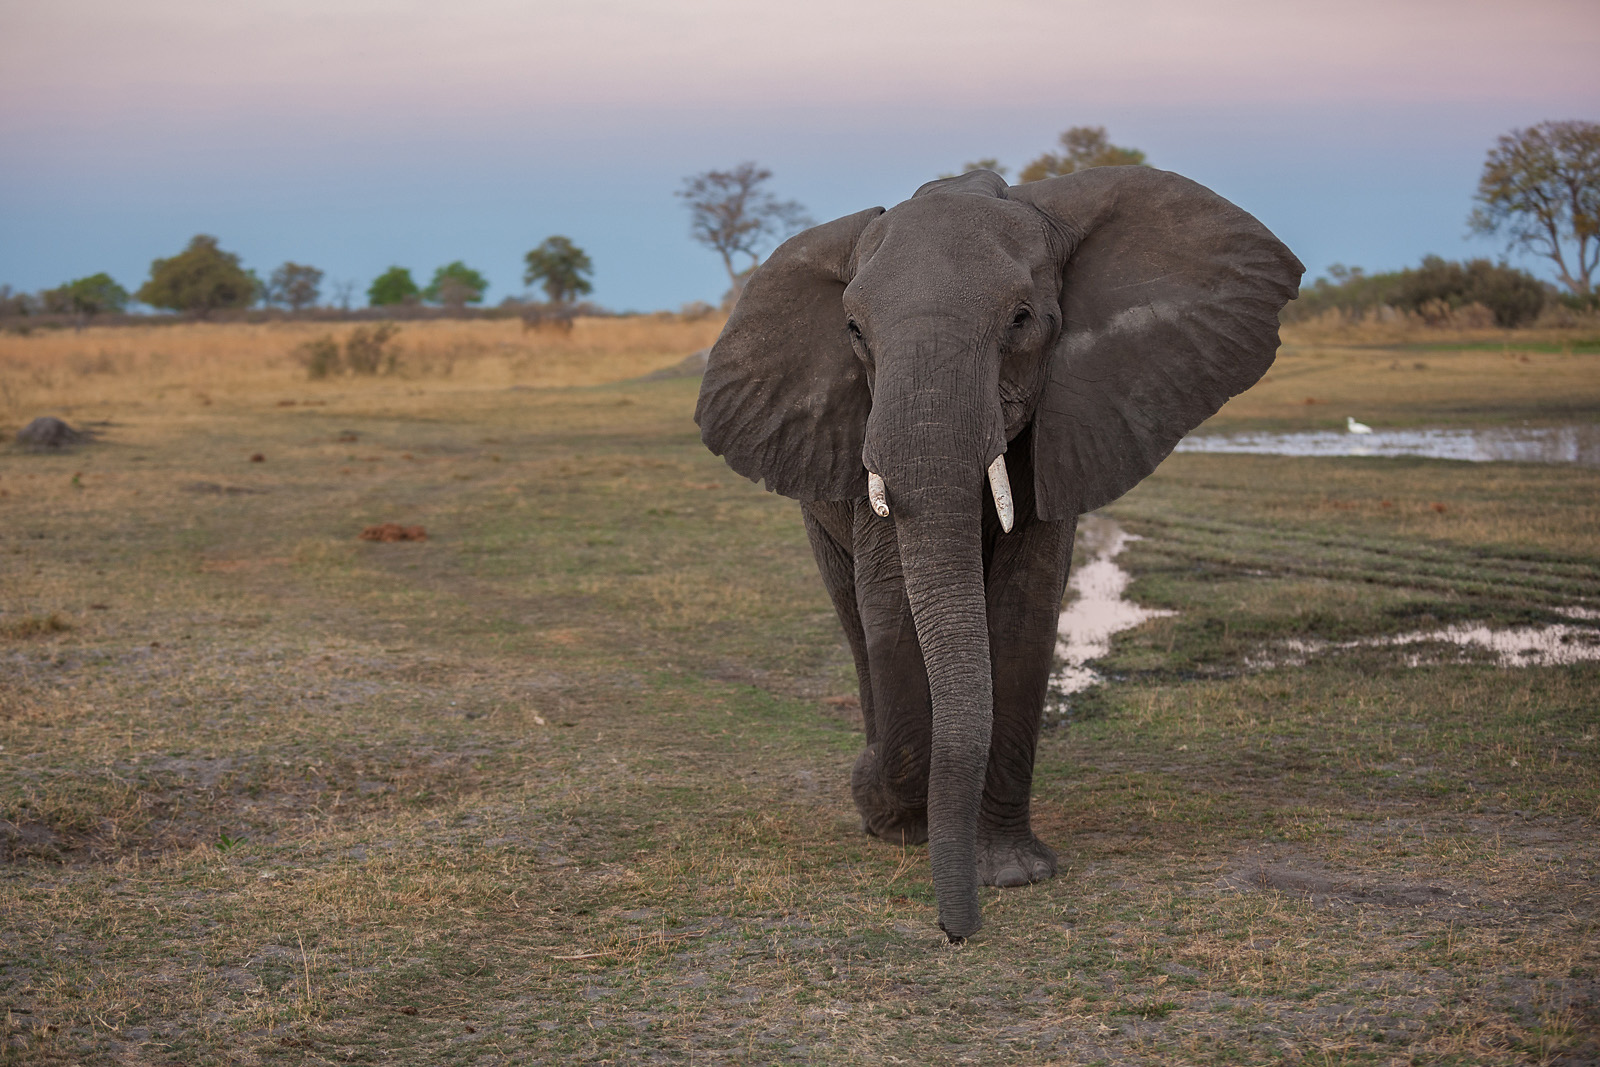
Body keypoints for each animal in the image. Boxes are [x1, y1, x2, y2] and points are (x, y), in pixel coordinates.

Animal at [697, 167, 1299, 940]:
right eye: (854, 331)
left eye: (1020, 319)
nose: (957, 933)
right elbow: (893, 614)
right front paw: (891, 813)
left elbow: (1023, 612)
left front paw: (1012, 873)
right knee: (855, 619)